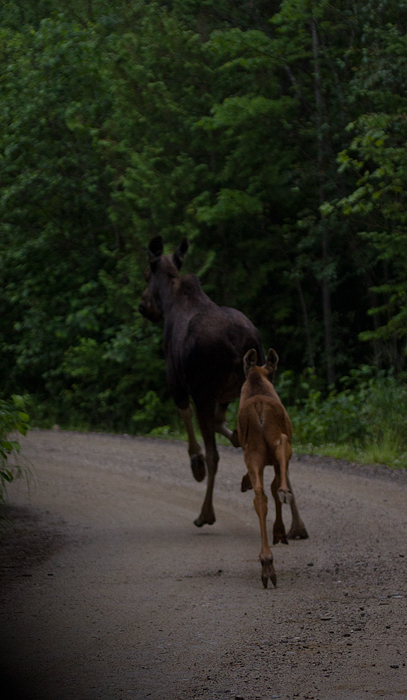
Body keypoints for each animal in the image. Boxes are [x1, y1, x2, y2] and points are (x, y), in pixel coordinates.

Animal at [139, 235, 265, 528]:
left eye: (147, 273)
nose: (143, 305)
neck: (172, 299)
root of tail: (242, 342)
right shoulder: (225, 395)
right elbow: (224, 425)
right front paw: (237, 437)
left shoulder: (179, 383)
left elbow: (188, 419)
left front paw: (195, 464)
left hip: (203, 389)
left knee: (214, 456)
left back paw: (205, 513)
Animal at [238, 347, 308, 588]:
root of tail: (259, 406)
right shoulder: (276, 462)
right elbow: (275, 485)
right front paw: (279, 532)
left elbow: (267, 489)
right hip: (279, 442)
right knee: (282, 449)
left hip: (252, 454)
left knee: (260, 497)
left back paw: (266, 562)